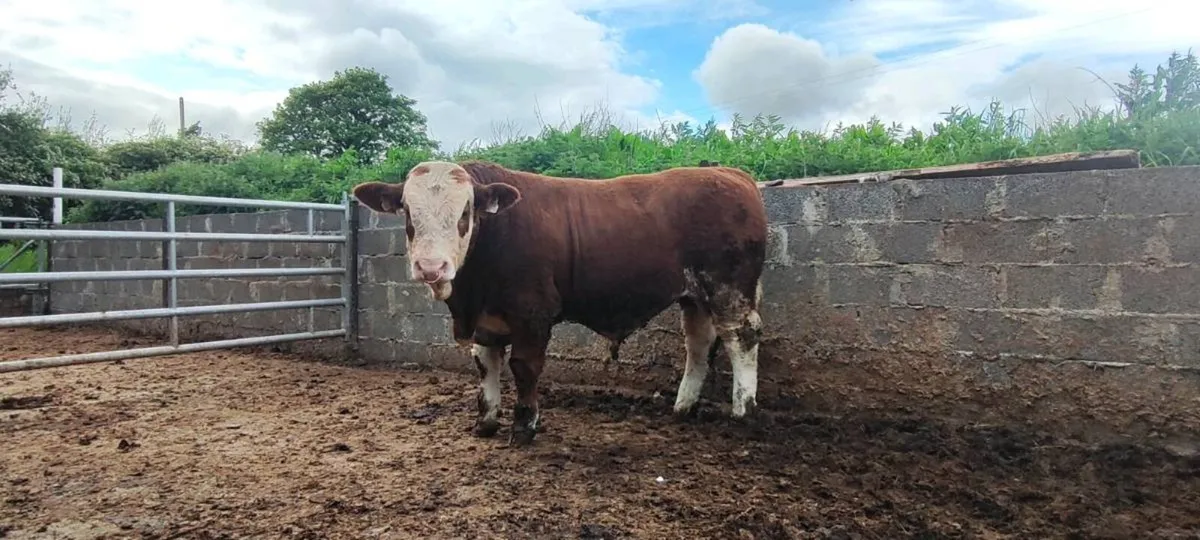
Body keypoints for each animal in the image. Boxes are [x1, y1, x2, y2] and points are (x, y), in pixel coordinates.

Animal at [352, 160, 768, 446]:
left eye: (465, 212)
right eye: (407, 212)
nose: (431, 267)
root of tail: (731, 173)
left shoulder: (533, 313)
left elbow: (524, 367)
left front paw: (524, 426)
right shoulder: (487, 321)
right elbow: (485, 365)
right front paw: (486, 422)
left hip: (729, 286)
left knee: (741, 337)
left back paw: (743, 410)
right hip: (694, 295)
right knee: (698, 344)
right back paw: (683, 407)